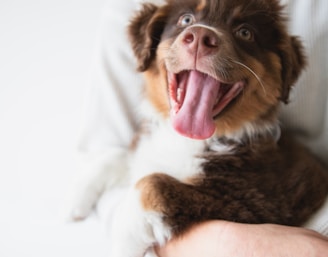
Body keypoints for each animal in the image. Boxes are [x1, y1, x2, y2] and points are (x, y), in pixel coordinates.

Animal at [68, 0, 328, 256]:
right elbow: (121, 155)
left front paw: (123, 243)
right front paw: (76, 197)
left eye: (245, 32)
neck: (188, 139)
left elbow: (153, 184)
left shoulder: (255, 199)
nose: (201, 37)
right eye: (186, 19)